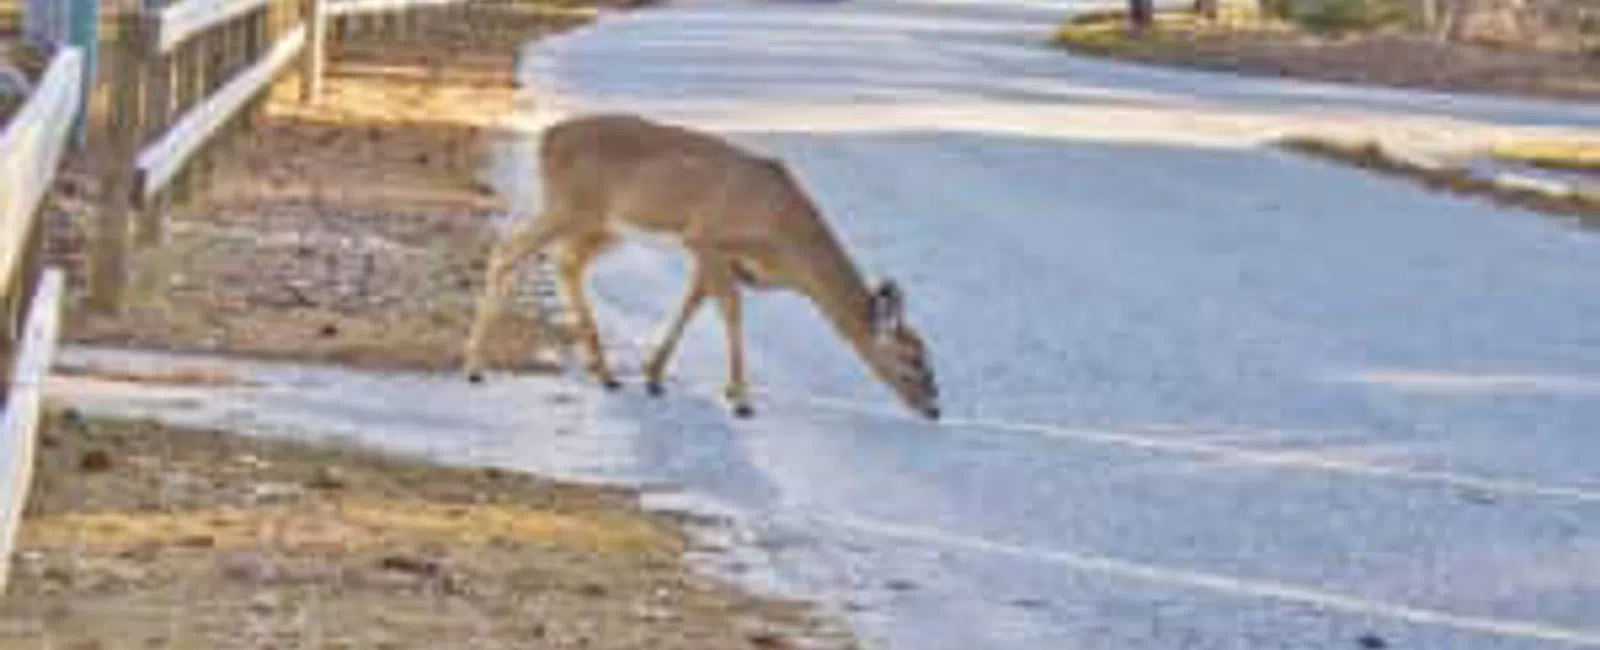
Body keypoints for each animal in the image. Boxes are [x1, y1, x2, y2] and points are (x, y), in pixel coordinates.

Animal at [462, 112, 940, 420]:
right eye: (913, 359)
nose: (935, 408)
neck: (784, 240)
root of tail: (547, 139)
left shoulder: (714, 257)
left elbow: (694, 303)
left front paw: (655, 376)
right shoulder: (707, 238)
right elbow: (730, 311)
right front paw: (742, 399)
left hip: (600, 224)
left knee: (566, 264)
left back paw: (606, 375)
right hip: (571, 207)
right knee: (508, 252)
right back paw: (474, 368)